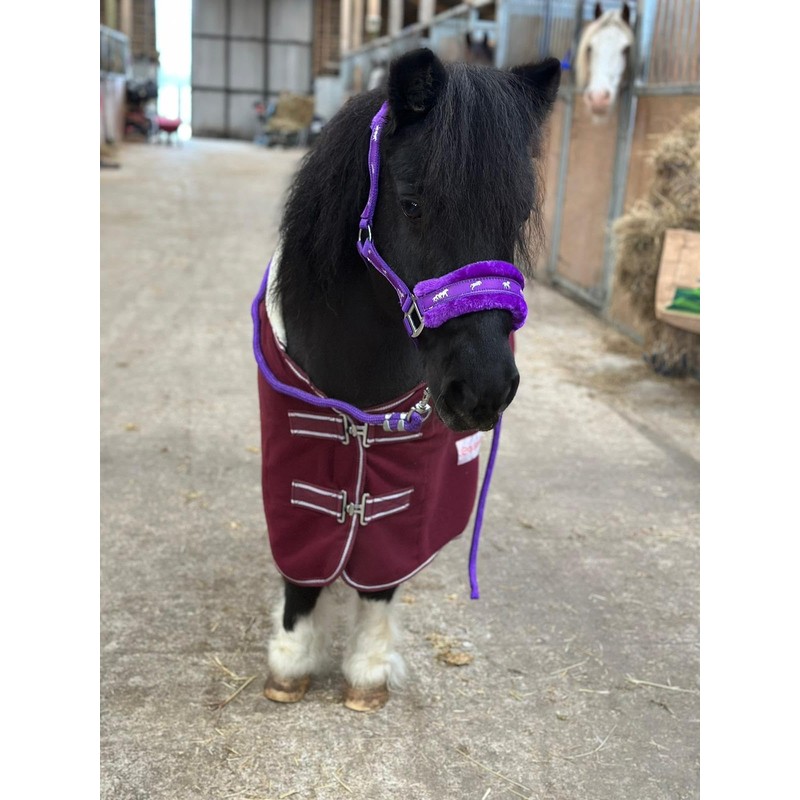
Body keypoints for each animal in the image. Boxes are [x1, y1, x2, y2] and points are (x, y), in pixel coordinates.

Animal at [252, 48, 560, 711]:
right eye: (414, 202)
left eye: (520, 212)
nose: (483, 390)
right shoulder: (294, 459)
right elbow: (302, 564)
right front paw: (290, 661)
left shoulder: (408, 480)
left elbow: (381, 575)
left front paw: (367, 671)